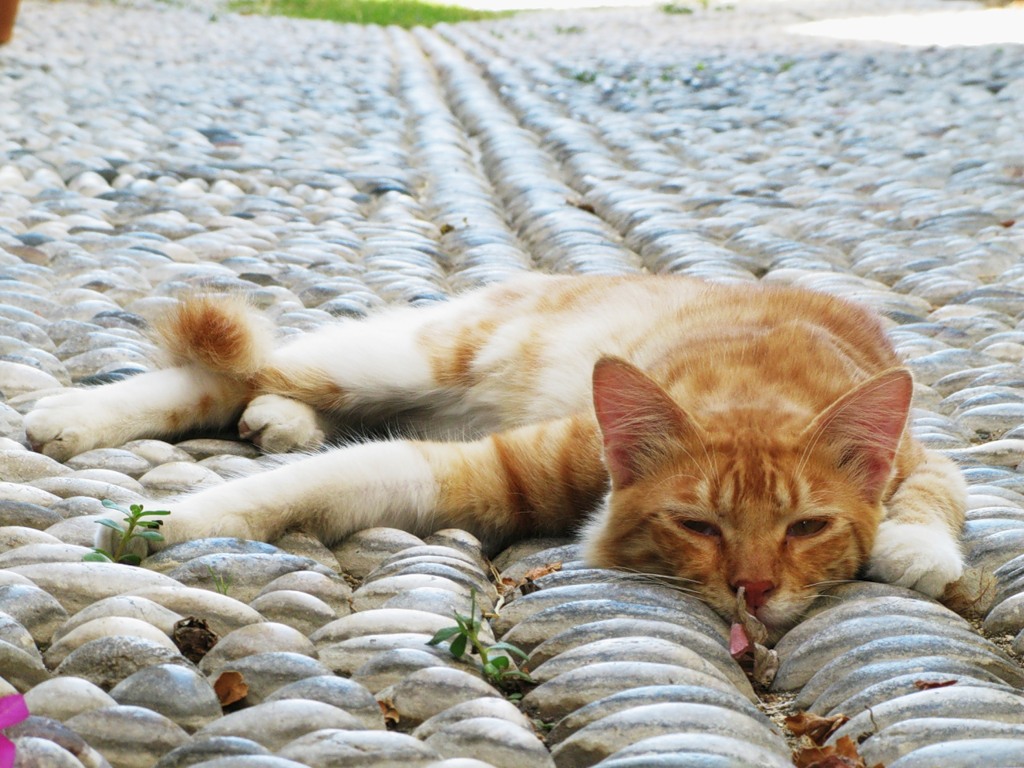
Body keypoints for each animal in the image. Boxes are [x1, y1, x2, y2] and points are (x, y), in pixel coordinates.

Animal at [24, 276, 966, 638]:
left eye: (807, 528)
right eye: (698, 524)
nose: (755, 591)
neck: (756, 392)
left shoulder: (926, 454)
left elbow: (941, 493)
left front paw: (914, 547)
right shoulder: (502, 465)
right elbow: (331, 475)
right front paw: (183, 515)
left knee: (283, 398)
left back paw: (279, 420)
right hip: (400, 359)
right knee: (237, 369)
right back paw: (76, 414)